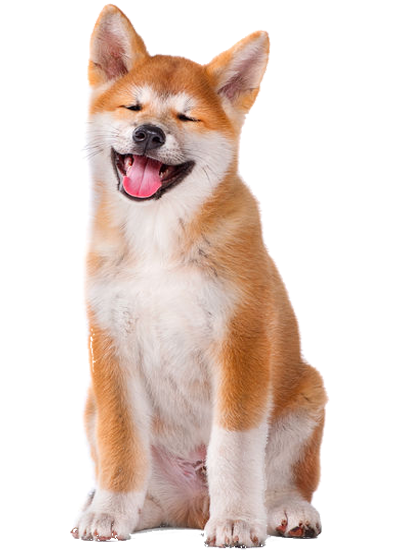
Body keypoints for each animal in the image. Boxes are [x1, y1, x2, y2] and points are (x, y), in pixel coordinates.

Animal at [72, 4, 327, 548]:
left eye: (187, 116)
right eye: (133, 107)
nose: (149, 133)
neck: (157, 240)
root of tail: (193, 506)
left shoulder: (240, 342)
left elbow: (232, 448)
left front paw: (236, 521)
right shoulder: (111, 348)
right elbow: (121, 444)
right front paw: (109, 513)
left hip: (308, 396)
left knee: (284, 482)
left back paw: (285, 511)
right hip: (93, 408)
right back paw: (124, 509)